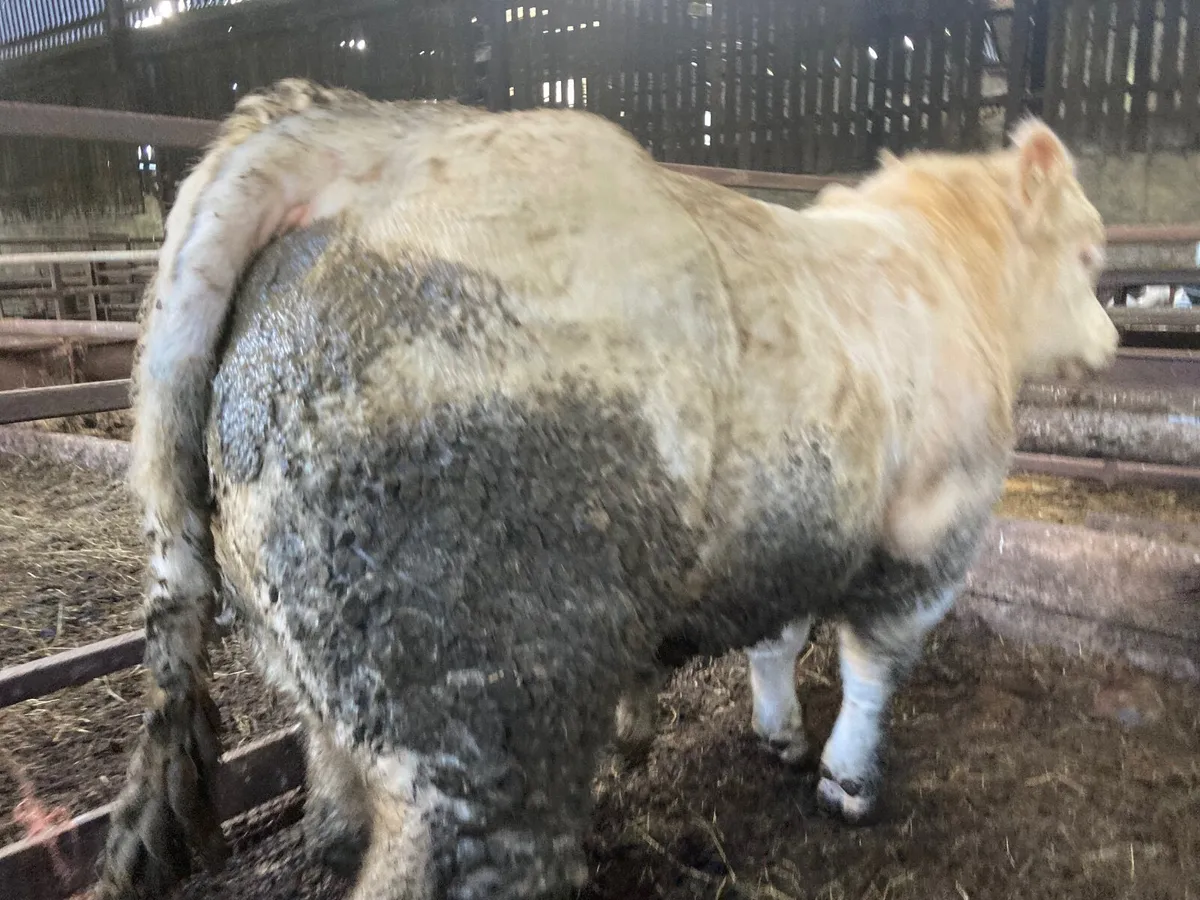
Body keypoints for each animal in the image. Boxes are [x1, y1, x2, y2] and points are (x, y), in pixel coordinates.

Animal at [94, 78, 1117, 900]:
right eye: (1089, 257)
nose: (1111, 344)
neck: (949, 273)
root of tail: (359, 133)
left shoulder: (798, 519)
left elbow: (776, 639)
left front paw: (780, 735)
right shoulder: (934, 531)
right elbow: (874, 668)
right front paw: (849, 781)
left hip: (292, 637)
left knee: (331, 780)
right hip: (487, 714)